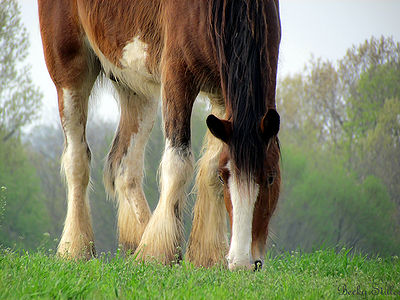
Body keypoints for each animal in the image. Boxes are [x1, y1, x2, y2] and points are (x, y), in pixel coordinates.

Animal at [37, 0, 282, 270]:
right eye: (225, 177)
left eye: (271, 177)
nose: (242, 262)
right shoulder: (176, 76)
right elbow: (178, 163)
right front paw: (158, 252)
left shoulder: (221, 92)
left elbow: (208, 166)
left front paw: (205, 255)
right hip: (69, 71)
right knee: (77, 160)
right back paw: (76, 247)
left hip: (135, 85)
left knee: (124, 166)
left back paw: (140, 237)